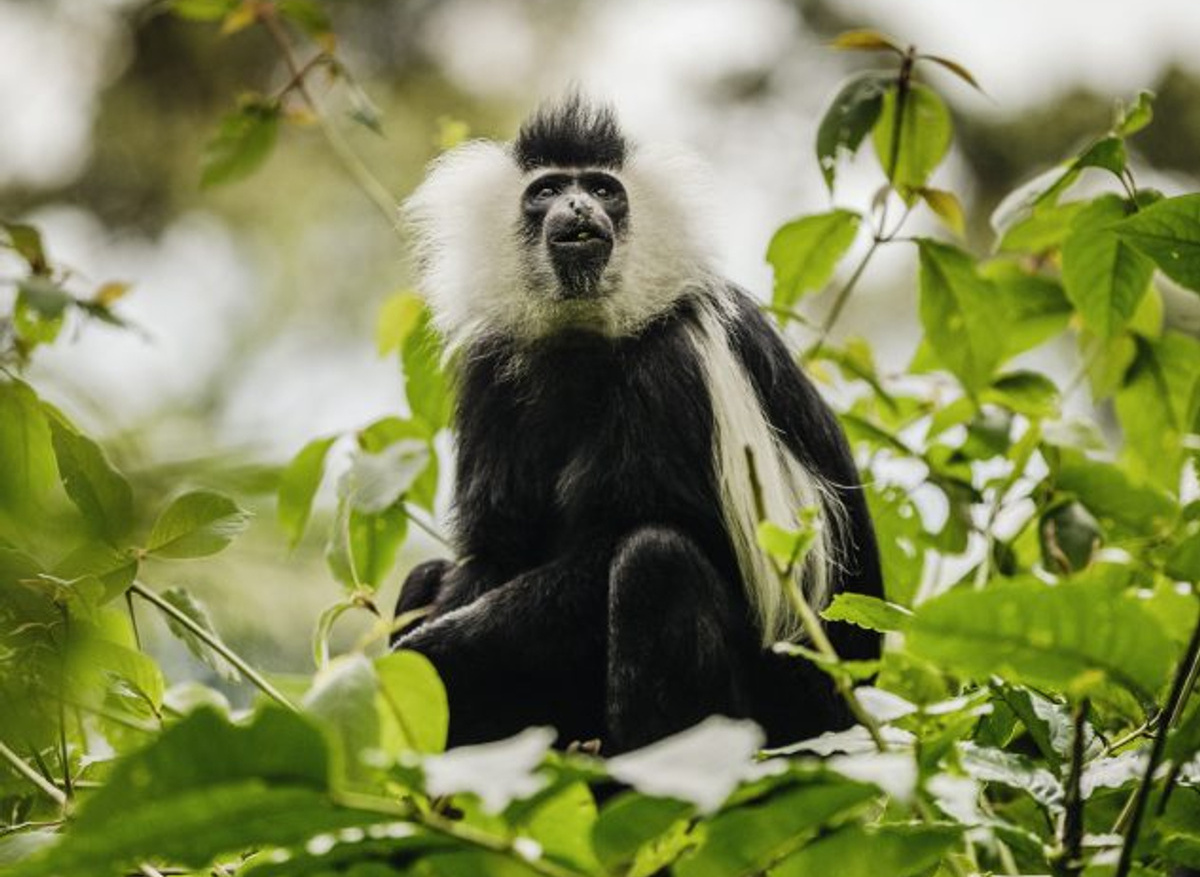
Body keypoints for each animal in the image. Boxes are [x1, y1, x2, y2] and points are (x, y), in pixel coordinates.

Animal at [391, 94, 882, 754]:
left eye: (602, 188)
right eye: (548, 191)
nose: (579, 207)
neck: (587, 343)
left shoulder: (674, 365)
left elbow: (618, 541)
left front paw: (423, 654)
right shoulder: (491, 374)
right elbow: (496, 545)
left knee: (655, 559)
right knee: (429, 575)